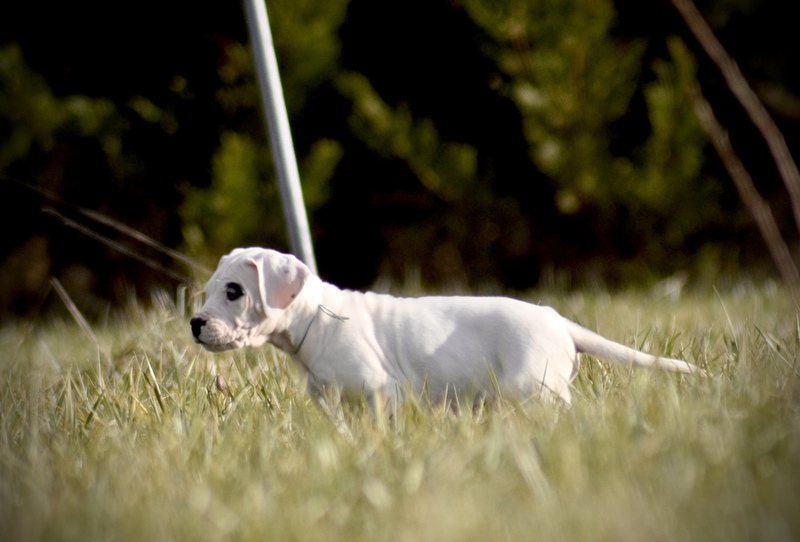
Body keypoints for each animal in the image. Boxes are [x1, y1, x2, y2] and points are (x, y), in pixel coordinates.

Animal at [191, 247, 699, 408]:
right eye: (209, 290)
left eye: (234, 291)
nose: (195, 323)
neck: (316, 318)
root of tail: (558, 321)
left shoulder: (382, 393)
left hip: (533, 387)